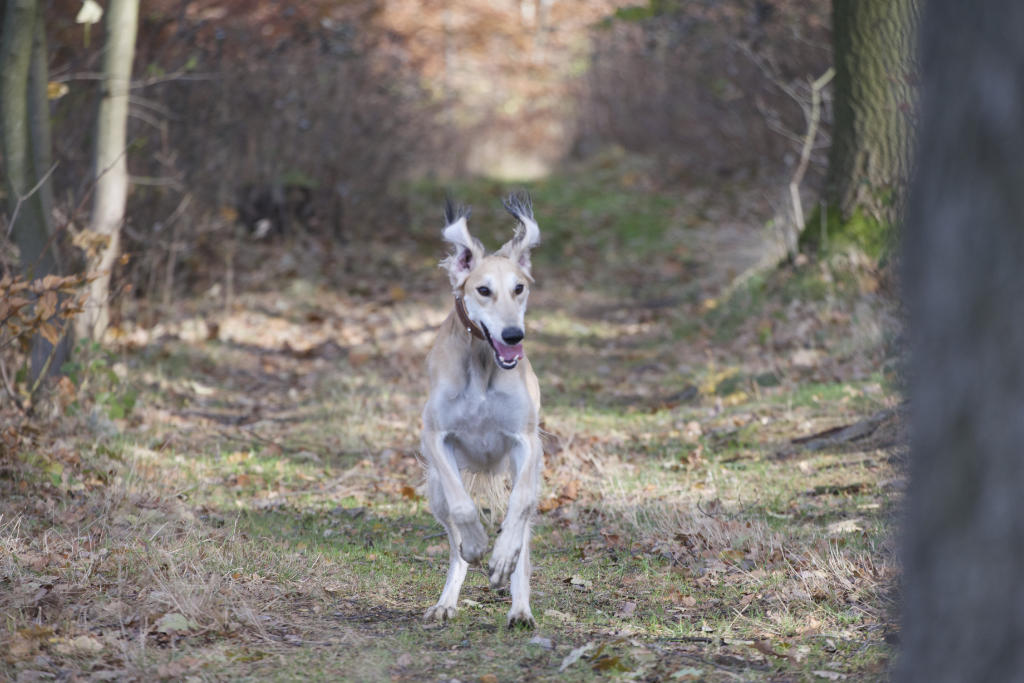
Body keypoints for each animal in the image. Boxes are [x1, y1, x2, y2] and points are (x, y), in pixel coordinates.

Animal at [419, 193, 544, 630]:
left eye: (519, 288)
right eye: (484, 290)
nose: (513, 336)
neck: (483, 361)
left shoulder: (526, 442)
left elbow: (518, 508)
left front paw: (502, 558)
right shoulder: (435, 437)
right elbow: (463, 509)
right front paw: (476, 543)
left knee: (523, 529)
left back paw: (519, 606)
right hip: (434, 490)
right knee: (454, 540)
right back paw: (447, 600)